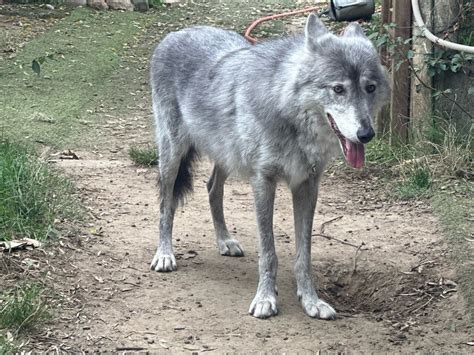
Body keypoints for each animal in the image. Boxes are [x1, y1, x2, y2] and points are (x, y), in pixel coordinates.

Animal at [150, 13, 390, 322]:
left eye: (370, 88)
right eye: (338, 89)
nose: (366, 134)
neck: (288, 112)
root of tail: (176, 33)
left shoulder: (307, 185)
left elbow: (304, 254)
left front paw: (311, 301)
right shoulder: (263, 181)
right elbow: (269, 251)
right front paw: (265, 299)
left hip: (227, 156)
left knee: (212, 188)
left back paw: (225, 241)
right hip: (172, 156)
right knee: (165, 204)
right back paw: (164, 254)